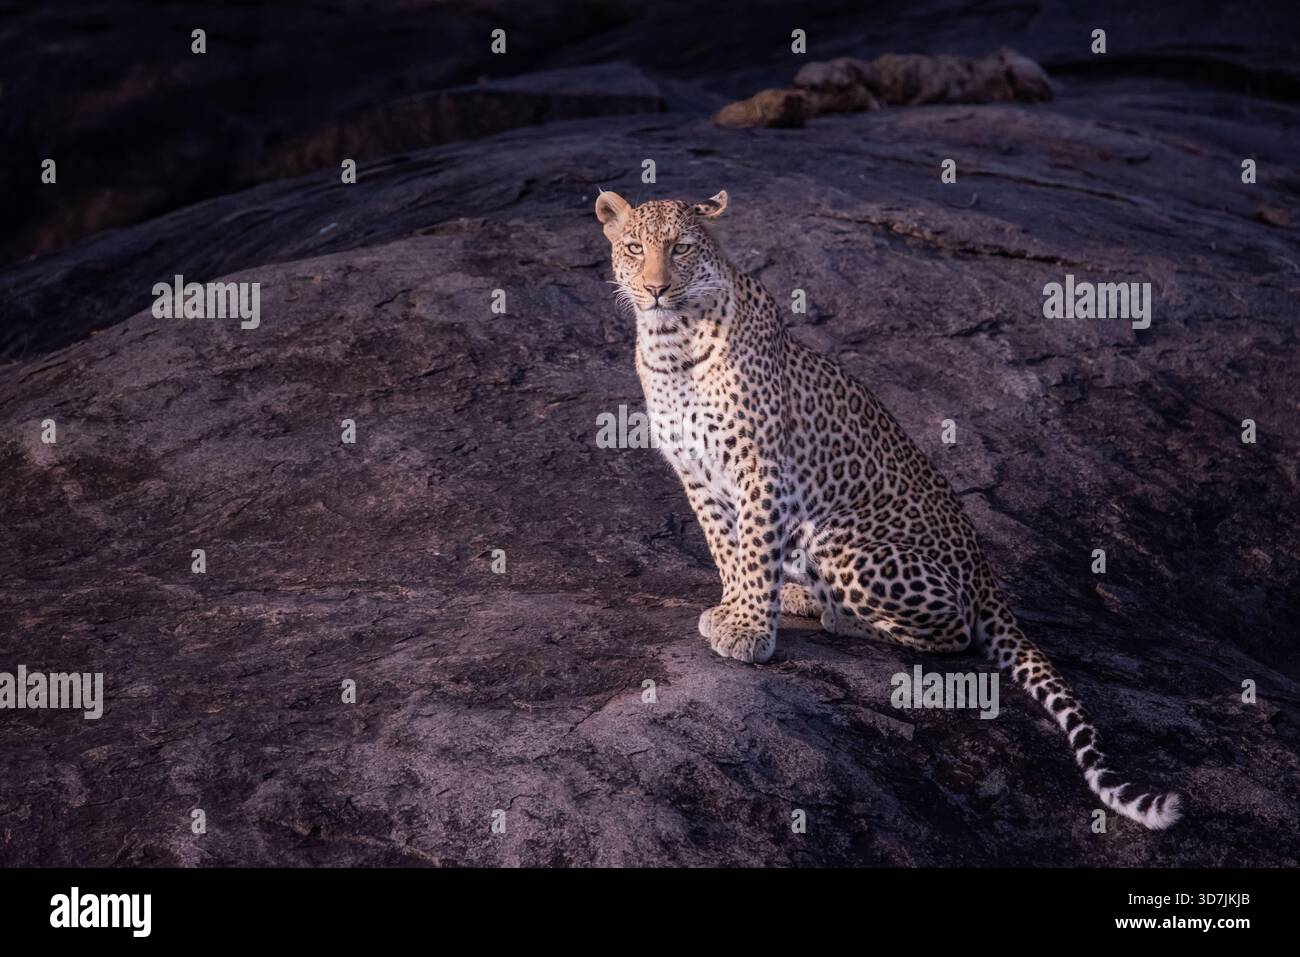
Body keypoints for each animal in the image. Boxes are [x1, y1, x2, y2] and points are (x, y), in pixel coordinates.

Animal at [595, 187, 1182, 830]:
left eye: (680, 248)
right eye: (634, 248)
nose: (655, 288)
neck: (671, 341)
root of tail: (987, 575)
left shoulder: (761, 469)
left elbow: (750, 549)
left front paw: (748, 629)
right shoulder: (696, 474)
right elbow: (728, 548)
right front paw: (735, 610)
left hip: (839, 539)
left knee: (955, 633)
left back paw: (840, 618)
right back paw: (799, 595)